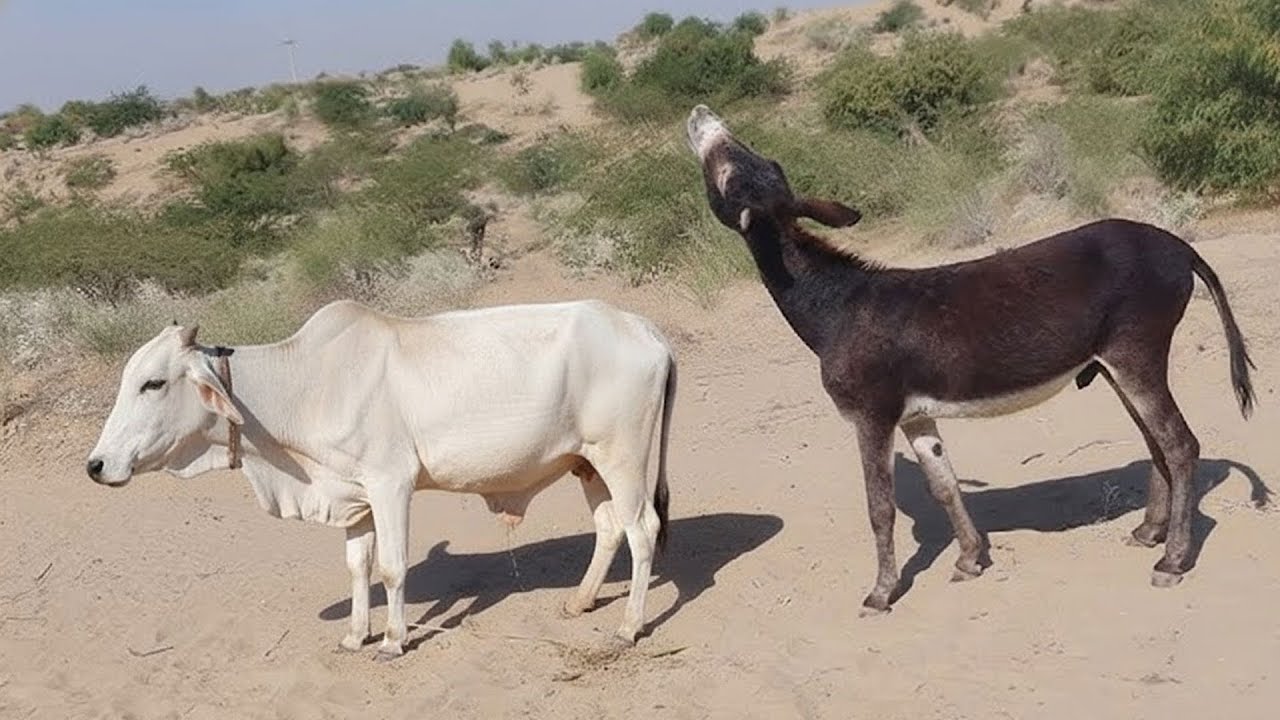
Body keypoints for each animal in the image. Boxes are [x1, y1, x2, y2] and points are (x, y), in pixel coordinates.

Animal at [86, 298, 676, 660]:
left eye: (153, 383)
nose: (96, 465)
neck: (307, 385)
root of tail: (646, 330)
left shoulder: (392, 483)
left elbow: (391, 568)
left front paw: (393, 639)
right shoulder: (353, 496)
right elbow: (357, 567)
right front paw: (354, 635)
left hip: (623, 456)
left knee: (642, 529)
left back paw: (629, 626)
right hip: (587, 462)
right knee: (610, 527)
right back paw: (581, 601)